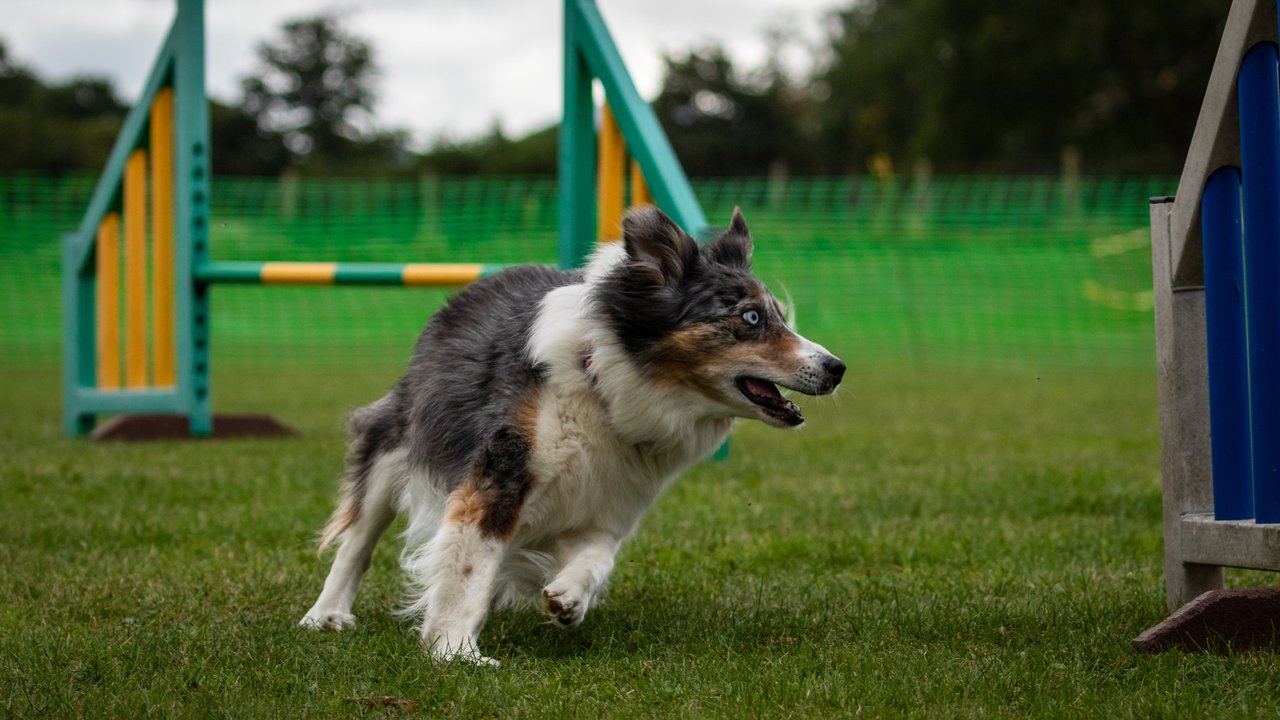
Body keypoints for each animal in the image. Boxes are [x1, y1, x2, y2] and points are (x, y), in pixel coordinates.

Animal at [296, 206, 839, 661]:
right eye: (751, 318)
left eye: (778, 315)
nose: (837, 368)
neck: (603, 383)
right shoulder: (501, 469)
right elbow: (469, 565)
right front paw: (455, 652)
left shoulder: (610, 494)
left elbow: (600, 554)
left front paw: (568, 598)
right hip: (396, 440)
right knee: (358, 538)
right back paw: (326, 614)